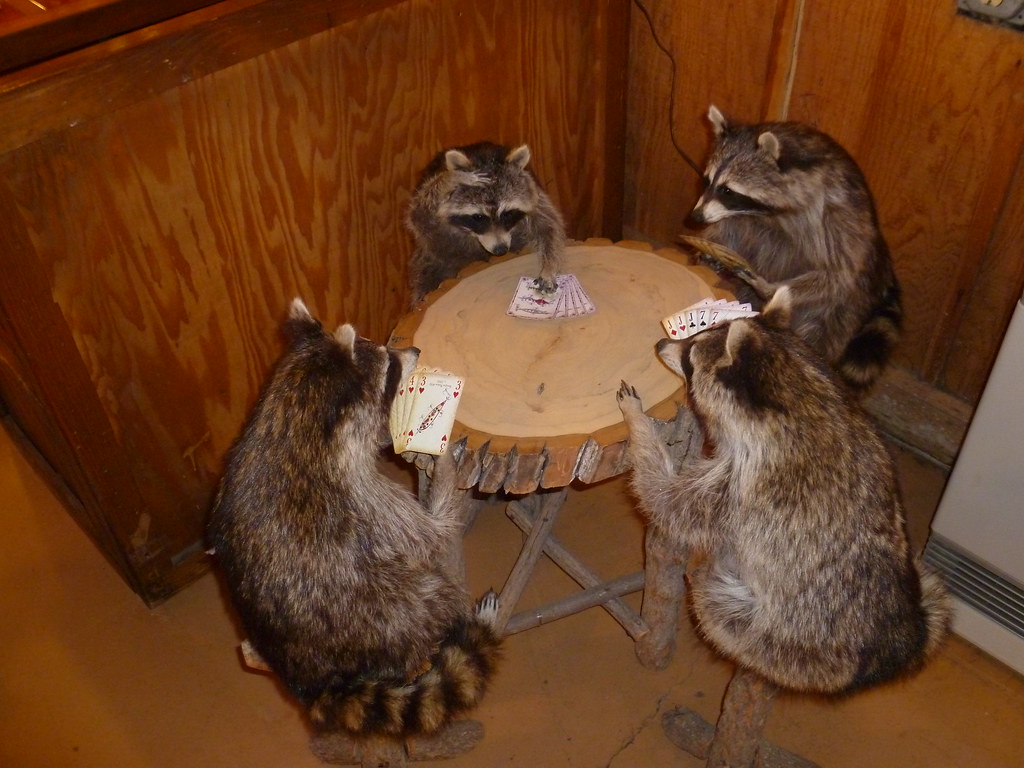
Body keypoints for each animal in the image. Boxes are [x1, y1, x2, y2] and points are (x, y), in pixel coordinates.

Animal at [207, 298, 500, 736]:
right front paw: (445, 467)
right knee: (429, 592)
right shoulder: (364, 499)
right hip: (390, 613)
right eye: (389, 366)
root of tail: (311, 680)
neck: (290, 417)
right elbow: (429, 534)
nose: (414, 350)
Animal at [406, 141, 566, 303]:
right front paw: (451, 178)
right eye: (479, 217)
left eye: (507, 214)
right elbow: (420, 218)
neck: (485, 158)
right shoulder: (436, 229)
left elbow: (548, 226)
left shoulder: (533, 192)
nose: (501, 250)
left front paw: (549, 266)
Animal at [617, 286, 949, 695]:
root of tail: (897, 644)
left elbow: (665, 500)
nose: (662, 342)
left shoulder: (741, 487)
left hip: (790, 650)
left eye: (692, 354)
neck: (799, 394)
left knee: (715, 601)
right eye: (702, 332)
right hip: (922, 586)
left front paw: (638, 425)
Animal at [688, 105, 902, 395]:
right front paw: (712, 249)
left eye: (728, 190)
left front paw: (769, 288)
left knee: (825, 325)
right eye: (706, 180)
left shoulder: (836, 214)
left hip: (850, 300)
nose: (695, 217)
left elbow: (836, 274)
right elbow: (730, 229)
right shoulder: (741, 217)